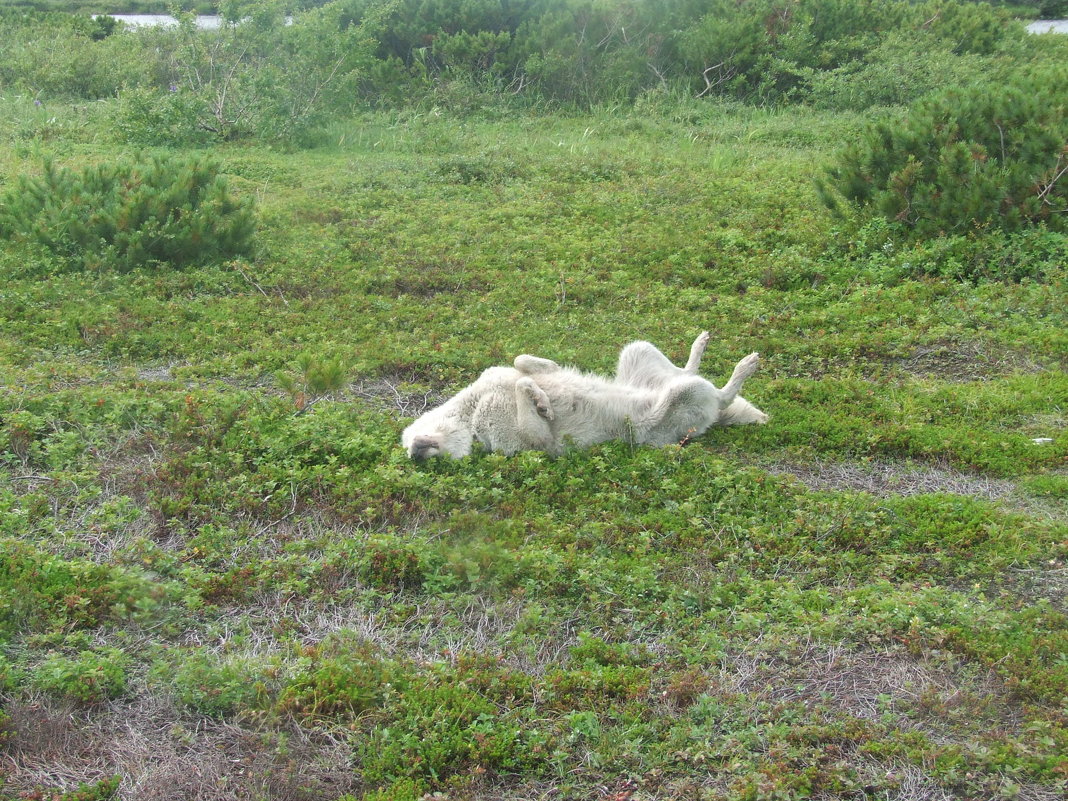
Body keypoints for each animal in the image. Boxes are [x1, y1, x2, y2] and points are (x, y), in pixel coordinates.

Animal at [401, 328, 768, 461]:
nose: (416, 454)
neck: (470, 410)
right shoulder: (531, 442)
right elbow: (525, 391)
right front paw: (543, 404)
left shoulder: (505, 371)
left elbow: (522, 363)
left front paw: (541, 382)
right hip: (679, 400)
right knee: (720, 395)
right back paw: (745, 366)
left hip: (637, 350)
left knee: (685, 371)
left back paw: (701, 345)